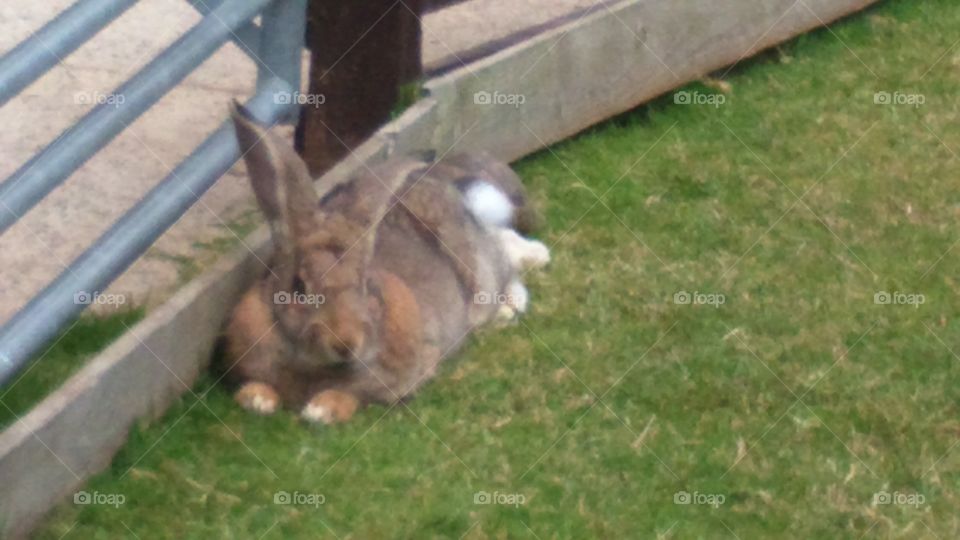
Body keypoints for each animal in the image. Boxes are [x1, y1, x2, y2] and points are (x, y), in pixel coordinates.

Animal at [223, 100, 548, 422]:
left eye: (366, 285)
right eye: (299, 288)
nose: (346, 343)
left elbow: (356, 396)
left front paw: (322, 410)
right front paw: (256, 399)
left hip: (477, 271)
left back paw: (518, 290)